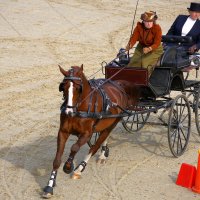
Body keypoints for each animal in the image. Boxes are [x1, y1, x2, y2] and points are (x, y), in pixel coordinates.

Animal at [42, 65, 139, 198]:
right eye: (63, 87)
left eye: (78, 88)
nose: (68, 112)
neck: (79, 109)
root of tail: (118, 85)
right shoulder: (62, 132)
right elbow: (57, 160)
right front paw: (49, 186)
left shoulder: (87, 134)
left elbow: (75, 147)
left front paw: (68, 166)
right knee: (103, 138)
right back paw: (104, 152)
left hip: (114, 122)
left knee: (96, 145)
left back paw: (80, 169)